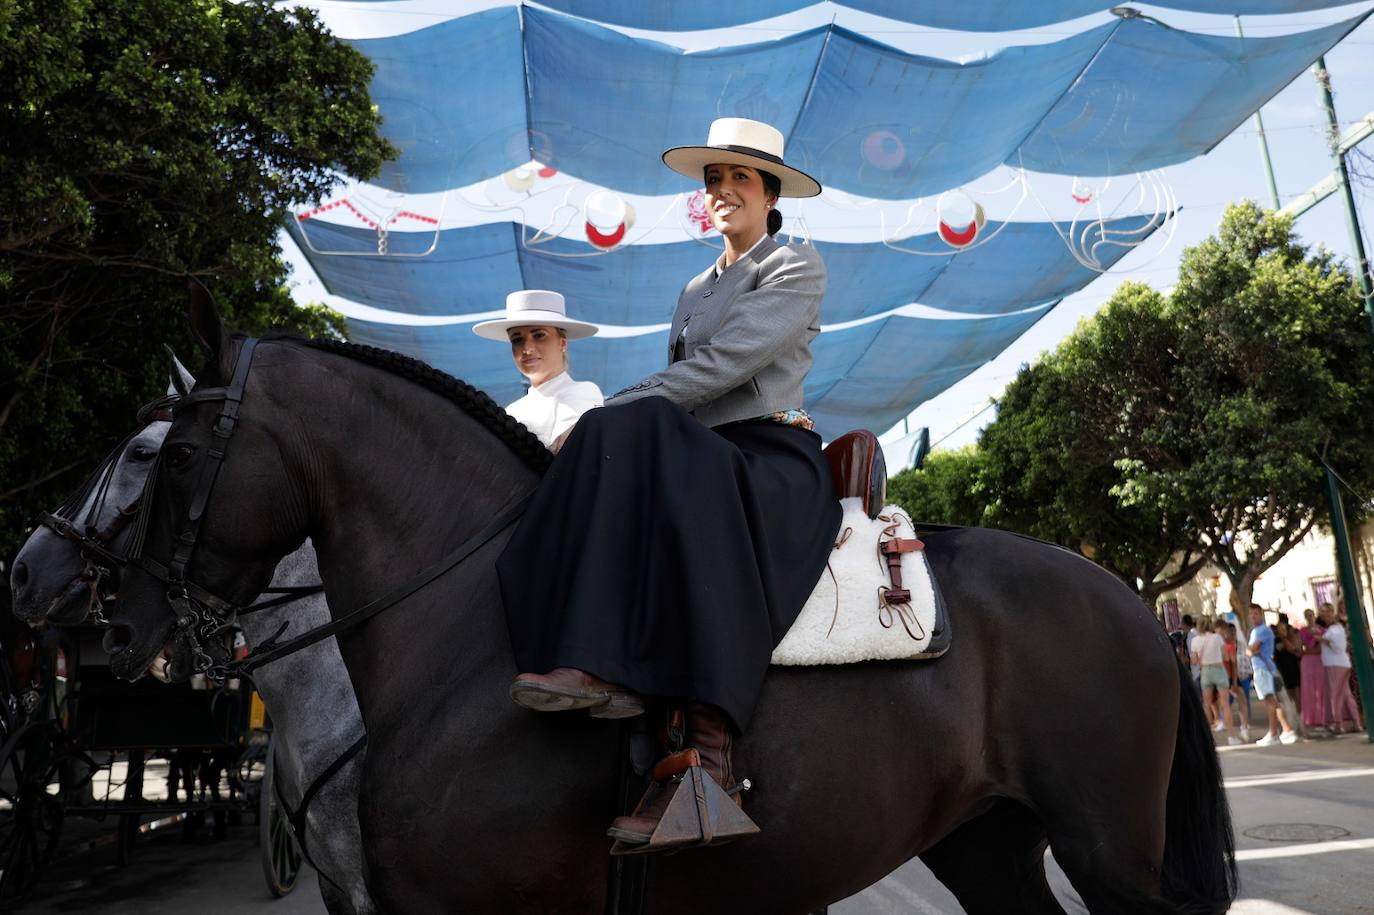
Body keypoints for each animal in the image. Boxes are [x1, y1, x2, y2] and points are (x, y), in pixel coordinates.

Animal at [104, 300, 1236, 912]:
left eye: (169, 452)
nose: (112, 618)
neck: (466, 632)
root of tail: (1129, 602)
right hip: (988, 841)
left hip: (1107, 847)